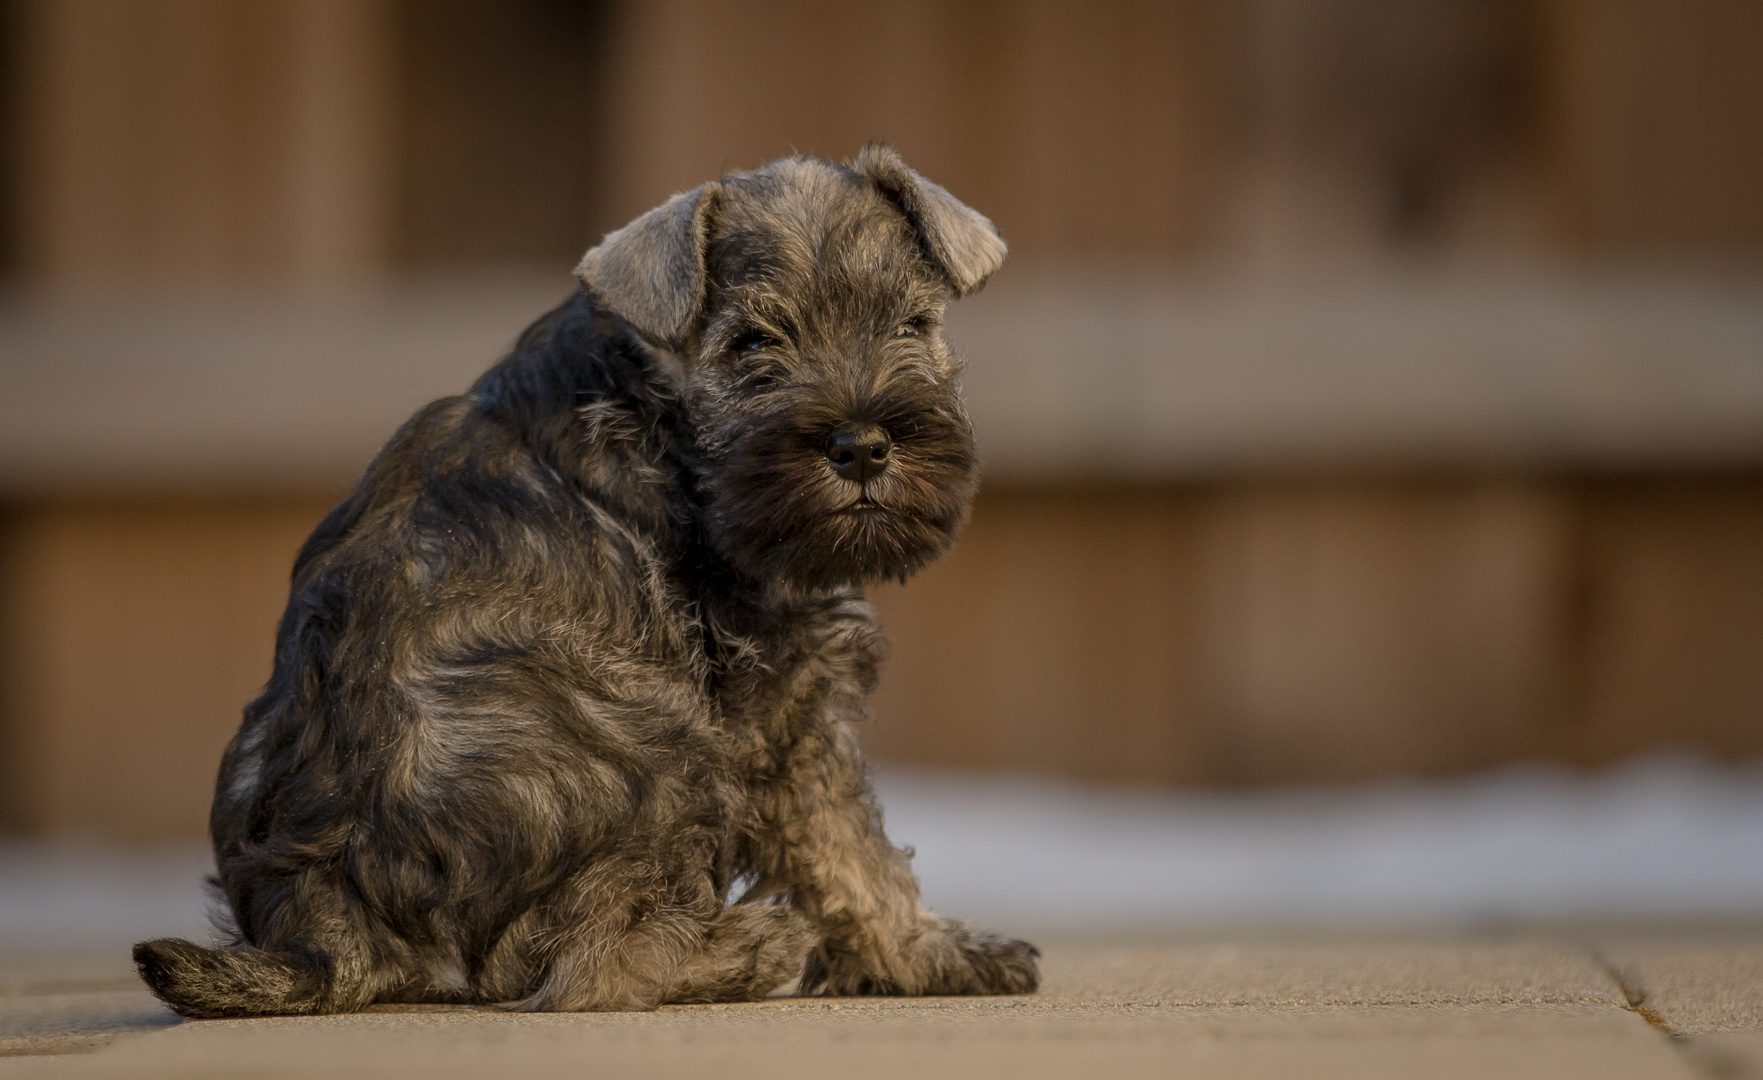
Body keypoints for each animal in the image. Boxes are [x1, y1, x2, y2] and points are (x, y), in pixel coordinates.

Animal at [141, 147, 1043, 1014]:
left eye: (913, 324)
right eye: (752, 344)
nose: (862, 446)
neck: (659, 414)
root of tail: (323, 930)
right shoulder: (783, 709)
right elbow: (853, 850)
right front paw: (936, 955)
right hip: (665, 748)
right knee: (585, 967)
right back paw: (755, 945)